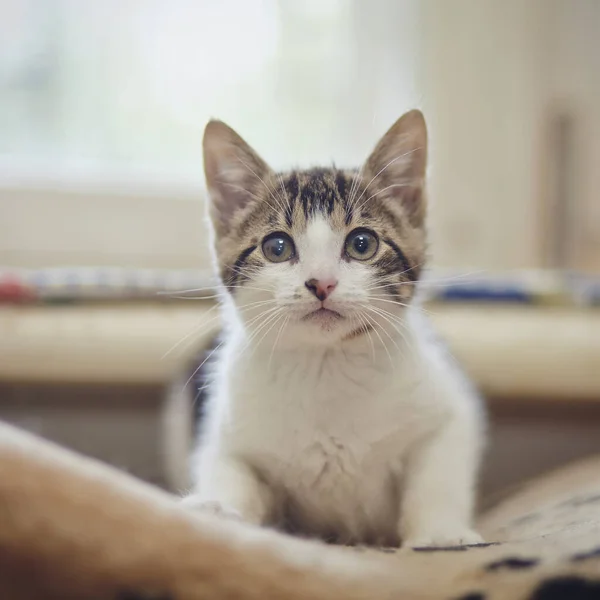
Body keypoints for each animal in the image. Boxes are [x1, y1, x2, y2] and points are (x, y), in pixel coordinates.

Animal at [183, 109, 482, 548]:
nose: (321, 283)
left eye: (362, 243)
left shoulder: (447, 414)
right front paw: (218, 509)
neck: (325, 364)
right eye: (277, 247)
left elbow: (436, 476)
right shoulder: (229, 439)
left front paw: (439, 532)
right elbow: (232, 472)